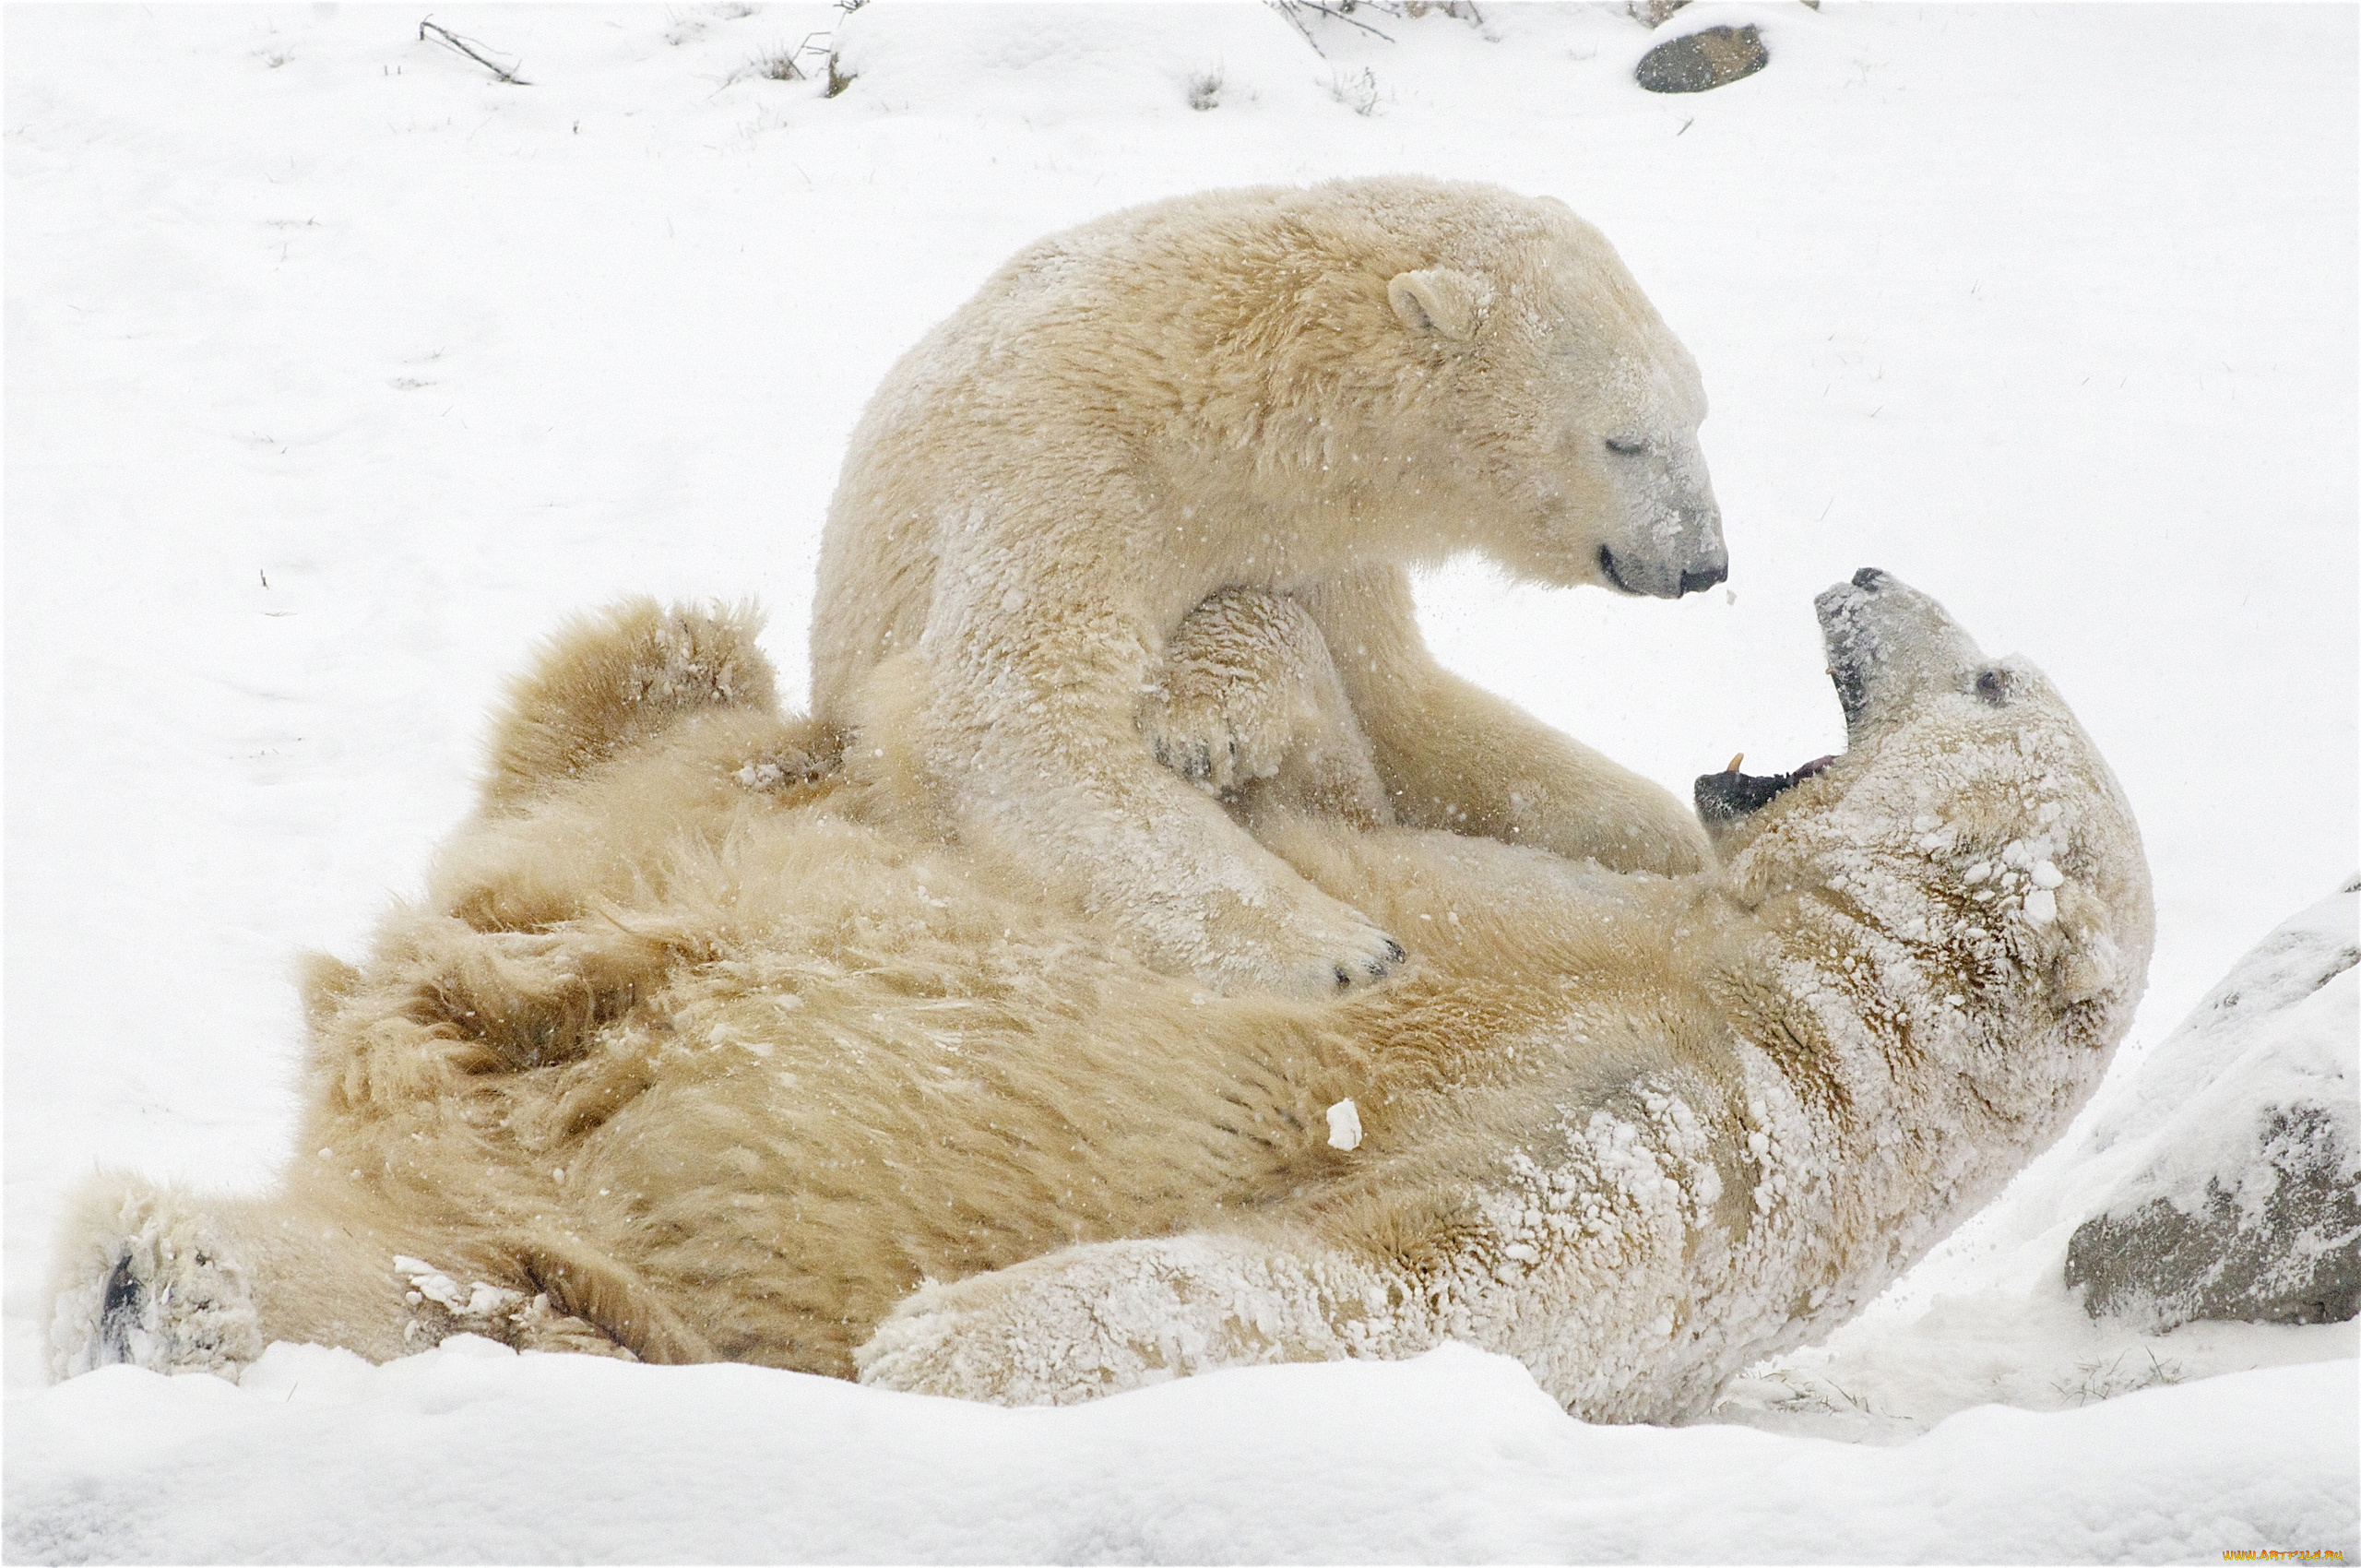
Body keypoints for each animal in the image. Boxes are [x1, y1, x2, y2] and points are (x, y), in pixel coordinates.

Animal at [45, 574, 2153, 1417]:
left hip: (606, 1271)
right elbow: (1333, 810)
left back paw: (163, 1280)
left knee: (491, 1292)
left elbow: (1399, 1276)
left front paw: (943, 1342)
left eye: (1990, 681)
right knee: (662, 685)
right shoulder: (1577, 915)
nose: (1862, 569)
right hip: (613, 833)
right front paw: (1208, 707)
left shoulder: (1699, 1129)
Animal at [821, 171, 1727, 996]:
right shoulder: (1062, 462)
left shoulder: (1320, 545)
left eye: (1699, 413)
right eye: (1624, 440)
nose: (1704, 563)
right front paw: (1344, 947)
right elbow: (1002, 713)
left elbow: (1402, 708)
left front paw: (1664, 836)